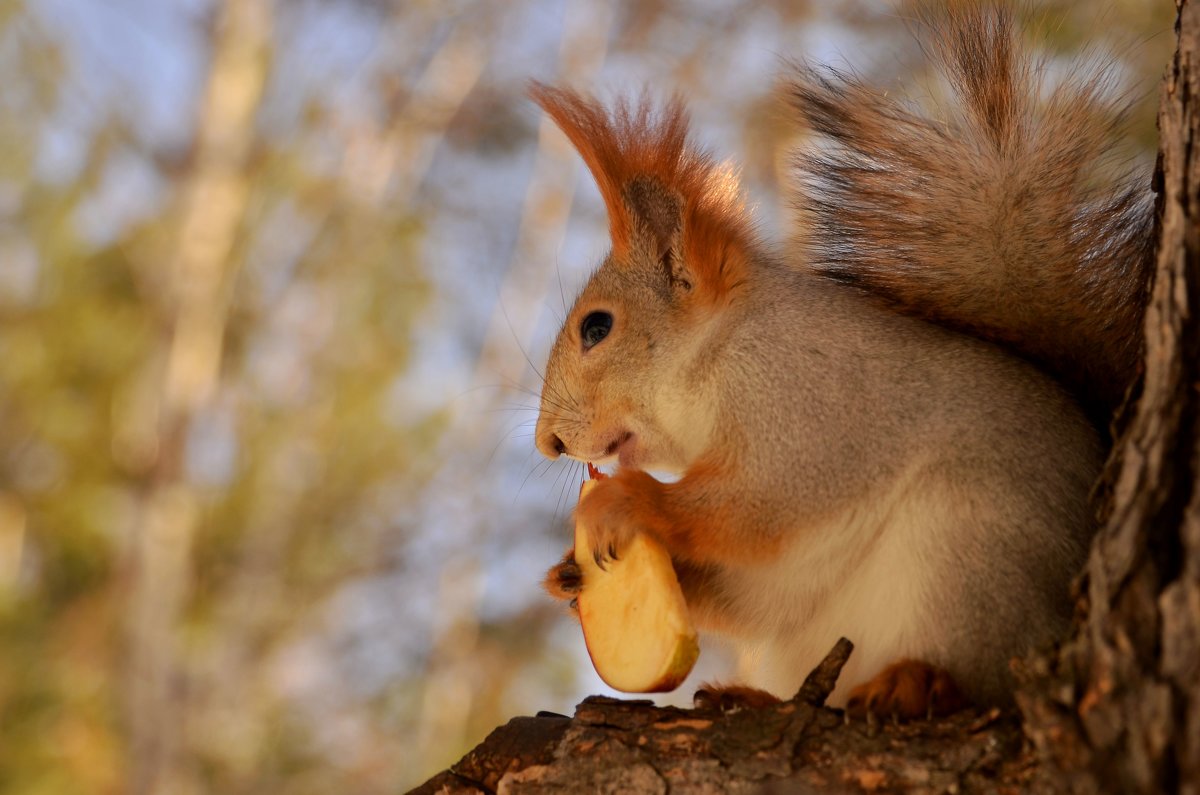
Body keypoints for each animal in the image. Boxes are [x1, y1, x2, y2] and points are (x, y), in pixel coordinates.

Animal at [530, 3, 1156, 720]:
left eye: (597, 327)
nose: (547, 443)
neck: (717, 354)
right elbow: (746, 585)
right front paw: (567, 571)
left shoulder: (810, 407)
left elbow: (759, 504)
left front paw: (624, 501)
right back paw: (752, 695)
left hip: (974, 558)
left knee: (982, 673)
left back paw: (915, 681)